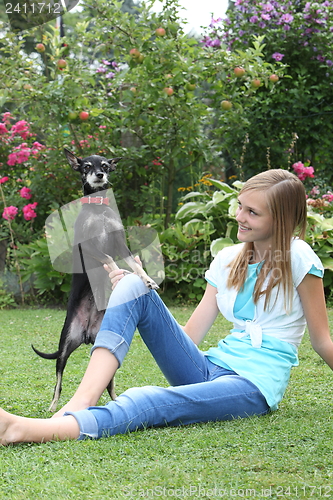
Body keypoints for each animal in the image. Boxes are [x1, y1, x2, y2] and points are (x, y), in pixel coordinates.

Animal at [32, 147, 158, 410]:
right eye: (87, 166)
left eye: (106, 166)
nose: (99, 175)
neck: (98, 209)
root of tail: (88, 334)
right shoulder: (89, 248)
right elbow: (108, 259)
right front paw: (119, 276)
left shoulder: (121, 244)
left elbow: (134, 264)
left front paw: (146, 280)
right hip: (65, 346)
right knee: (58, 381)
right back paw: (52, 407)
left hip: (105, 349)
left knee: (108, 384)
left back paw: (117, 400)